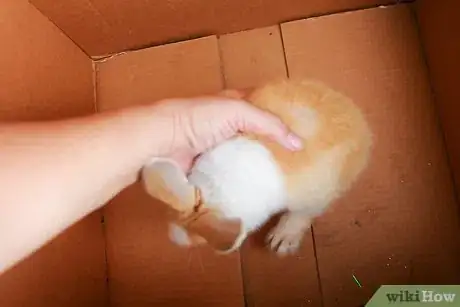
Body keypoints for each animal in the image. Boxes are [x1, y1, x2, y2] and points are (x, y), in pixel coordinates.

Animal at [142, 79, 372, 255]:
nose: (173, 238)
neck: (219, 186)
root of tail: (354, 110)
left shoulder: (314, 196)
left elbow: (302, 214)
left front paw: (281, 241)